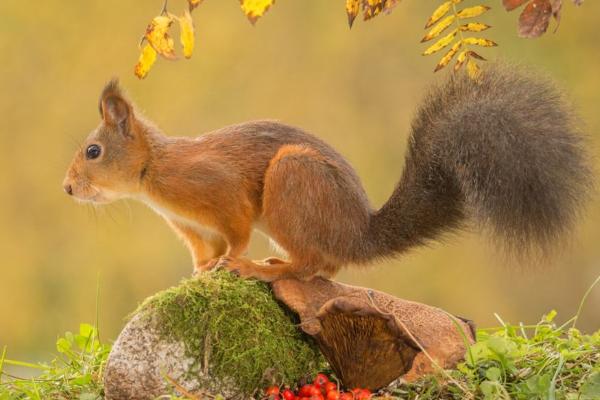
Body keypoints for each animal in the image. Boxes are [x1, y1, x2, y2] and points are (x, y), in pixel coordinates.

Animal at [62, 63, 592, 282]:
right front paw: (199, 271)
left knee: (312, 264)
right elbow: (204, 251)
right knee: (325, 265)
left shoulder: (220, 192)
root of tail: (357, 234)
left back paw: (263, 268)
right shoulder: (191, 227)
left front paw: (231, 262)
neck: (153, 173)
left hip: (292, 184)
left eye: (93, 151)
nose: (67, 188)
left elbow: (234, 234)